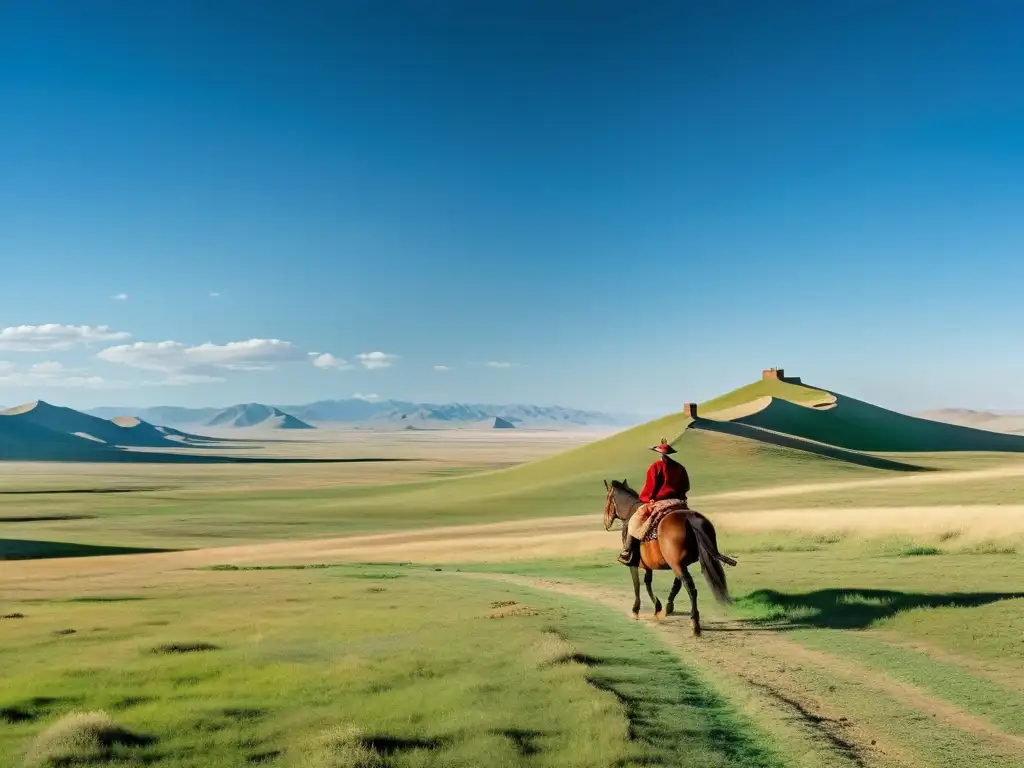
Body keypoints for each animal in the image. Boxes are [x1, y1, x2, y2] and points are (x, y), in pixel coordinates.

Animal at [598, 481, 737, 638]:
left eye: (607, 499)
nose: (606, 522)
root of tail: (689, 518)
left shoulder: (633, 564)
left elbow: (637, 584)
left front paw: (636, 610)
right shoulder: (649, 565)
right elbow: (648, 582)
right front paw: (658, 607)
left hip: (676, 564)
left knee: (690, 588)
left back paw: (694, 623)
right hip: (679, 563)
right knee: (680, 583)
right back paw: (670, 608)